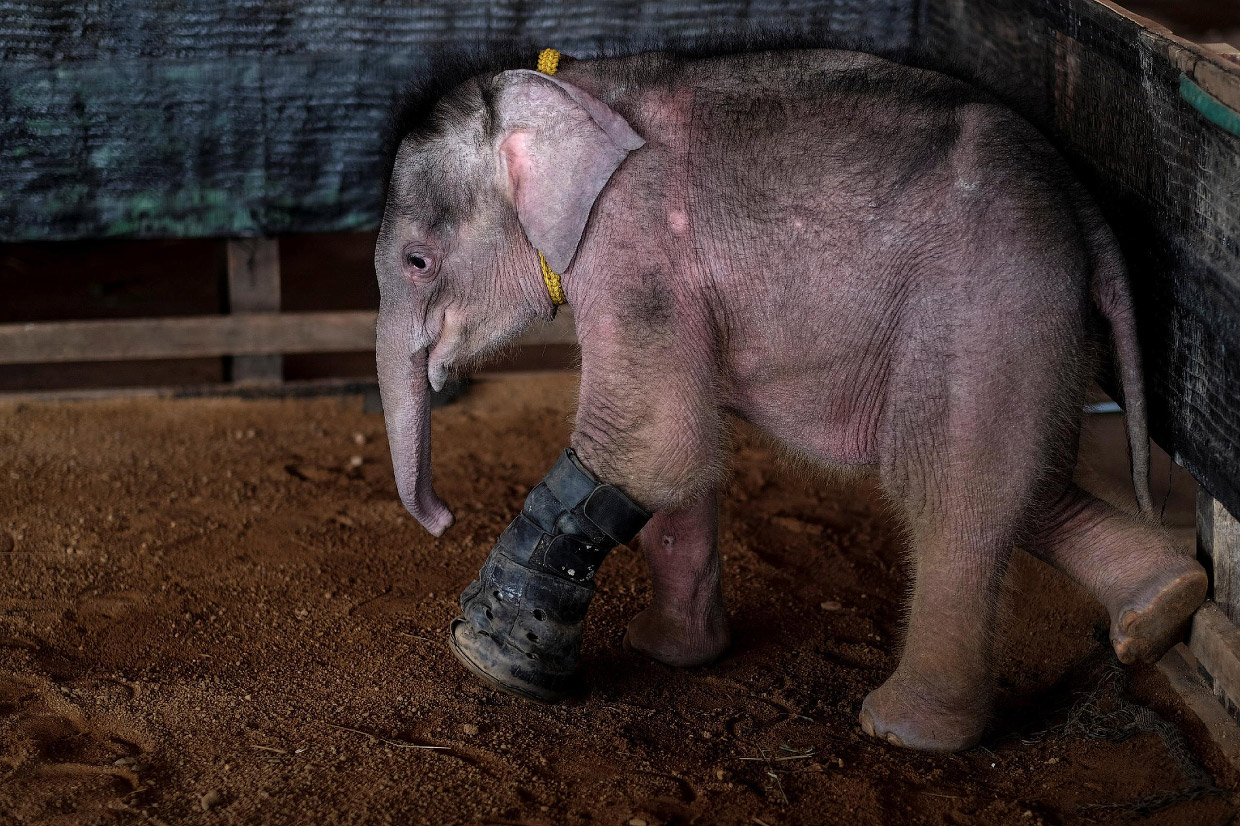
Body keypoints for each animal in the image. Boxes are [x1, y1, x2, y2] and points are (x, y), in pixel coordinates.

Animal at [372, 46, 1205, 754]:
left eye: (418, 261)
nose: (440, 519)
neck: (573, 86)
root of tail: (1084, 206)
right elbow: (682, 452)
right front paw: (671, 654)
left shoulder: (635, 246)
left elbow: (653, 441)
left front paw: (491, 654)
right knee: (1024, 483)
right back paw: (1164, 607)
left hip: (985, 302)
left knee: (947, 485)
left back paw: (904, 730)